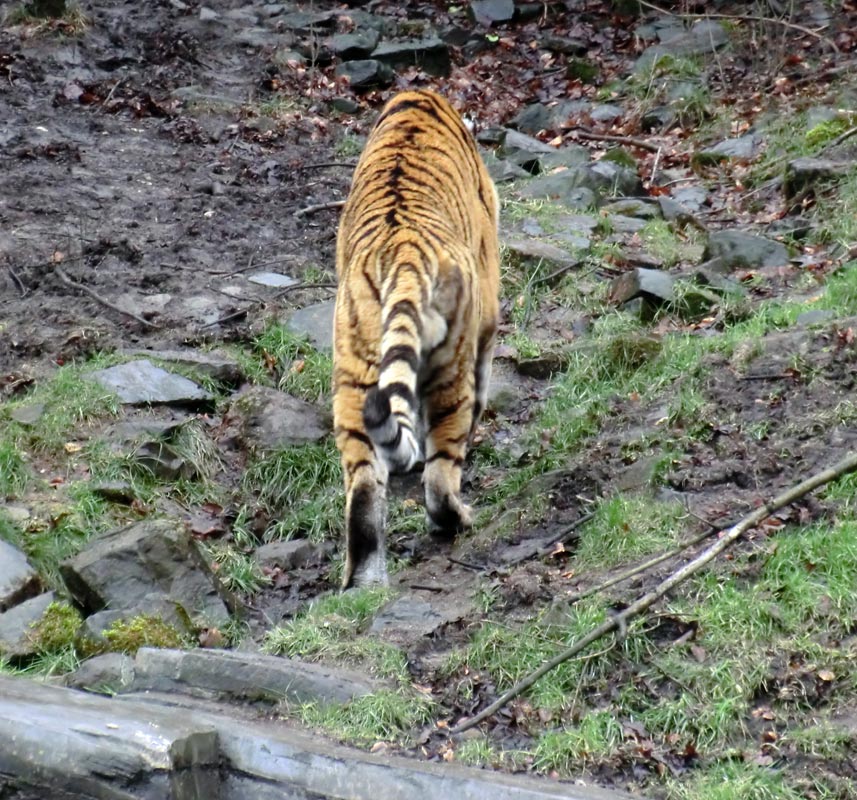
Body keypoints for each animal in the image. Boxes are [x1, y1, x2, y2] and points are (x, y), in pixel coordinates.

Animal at [330, 89, 502, 588]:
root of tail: (403, 253)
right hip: (450, 369)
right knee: (441, 475)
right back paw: (458, 520)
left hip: (355, 378)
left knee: (364, 488)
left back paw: (362, 583)